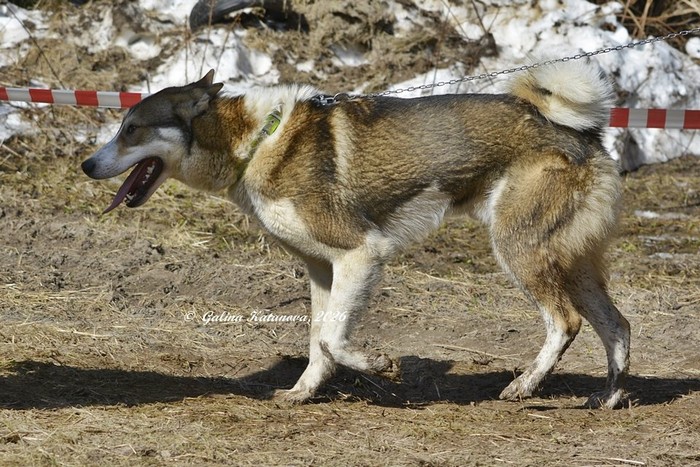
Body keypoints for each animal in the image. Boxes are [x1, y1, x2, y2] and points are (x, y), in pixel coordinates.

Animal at [81, 59, 630, 409]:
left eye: (131, 130)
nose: (86, 165)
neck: (256, 141)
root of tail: (582, 134)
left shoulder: (361, 254)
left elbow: (332, 339)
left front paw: (380, 365)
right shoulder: (322, 271)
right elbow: (318, 342)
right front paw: (303, 393)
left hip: (520, 252)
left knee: (566, 322)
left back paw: (525, 387)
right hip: (572, 265)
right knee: (618, 326)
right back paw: (607, 398)